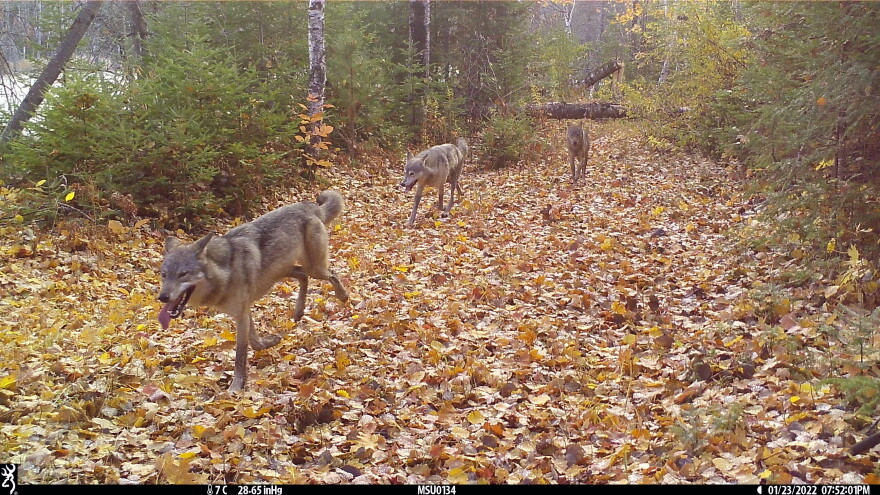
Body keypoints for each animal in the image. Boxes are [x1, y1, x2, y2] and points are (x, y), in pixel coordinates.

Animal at [157, 190, 350, 393]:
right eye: (164, 275)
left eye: (183, 274)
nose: (162, 297)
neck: (226, 271)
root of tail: (311, 206)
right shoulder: (243, 310)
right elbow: (255, 342)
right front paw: (270, 342)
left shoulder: (241, 314)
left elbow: (240, 355)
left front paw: (235, 387)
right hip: (286, 271)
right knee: (303, 276)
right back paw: (299, 312)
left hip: (315, 269)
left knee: (332, 274)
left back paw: (343, 296)